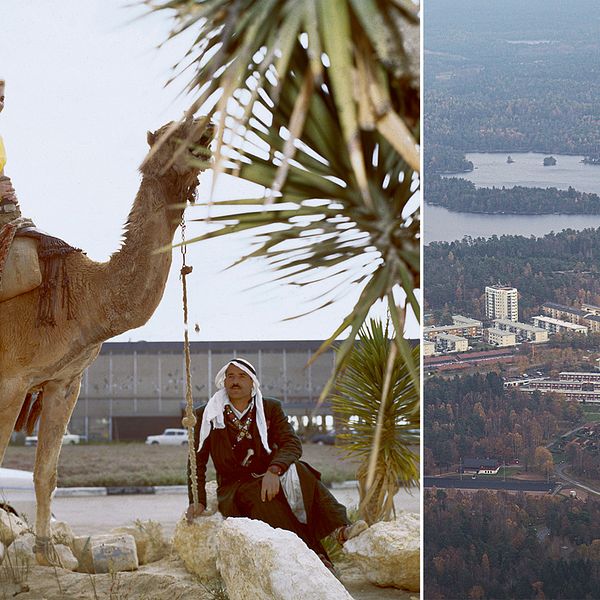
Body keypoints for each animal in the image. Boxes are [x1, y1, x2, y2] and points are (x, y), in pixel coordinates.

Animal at [0, 118, 214, 564]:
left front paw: (47, 553)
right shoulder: (10, 380)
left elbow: (46, 472)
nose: (208, 124)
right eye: (172, 133)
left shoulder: (64, 381)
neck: (85, 298)